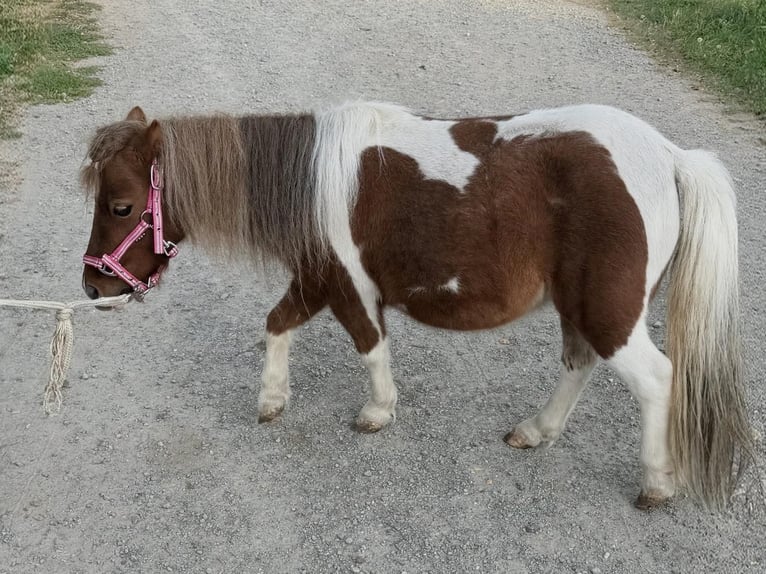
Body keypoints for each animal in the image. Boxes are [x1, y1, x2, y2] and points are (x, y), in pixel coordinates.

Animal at [80, 101, 753, 510]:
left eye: (120, 205)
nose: (94, 289)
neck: (313, 179)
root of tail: (671, 157)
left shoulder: (347, 286)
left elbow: (369, 345)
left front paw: (378, 411)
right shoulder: (317, 279)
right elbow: (276, 325)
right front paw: (272, 398)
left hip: (609, 311)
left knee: (657, 379)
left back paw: (656, 484)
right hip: (581, 306)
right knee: (579, 363)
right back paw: (536, 431)